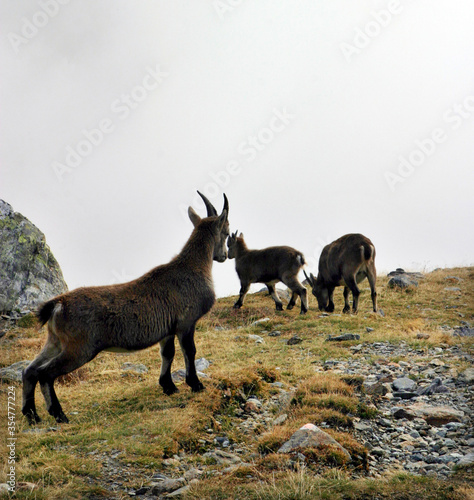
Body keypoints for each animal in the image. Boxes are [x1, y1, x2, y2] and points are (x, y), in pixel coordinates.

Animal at [22, 193, 230, 424]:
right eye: (227, 232)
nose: (224, 255)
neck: (193, 267)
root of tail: (58, 304)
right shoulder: (186, 322)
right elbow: (189, 351)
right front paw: (195, 384)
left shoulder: (167, 330)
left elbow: (167, 353)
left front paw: (168, 386)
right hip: (79, 348)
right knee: (45, 373)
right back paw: (58, 414)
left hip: (55, 342)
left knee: (29, 370)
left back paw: (32, 414)